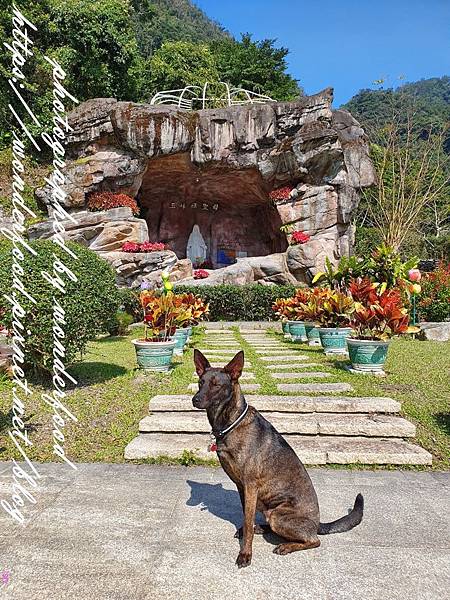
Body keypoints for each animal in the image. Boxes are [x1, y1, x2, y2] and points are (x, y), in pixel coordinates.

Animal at [192, 346, 364, 568]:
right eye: (200, 382)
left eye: (216, 385)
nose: (195, 399)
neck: (230, 423)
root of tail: (317, 524)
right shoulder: (242, 487)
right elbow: (246, 517)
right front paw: (248, 532)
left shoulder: (250, 485)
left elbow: (248, 521)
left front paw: (245, 553)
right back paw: (263, 528)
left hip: (278, 515)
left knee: (314, 541)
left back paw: (286, 546)